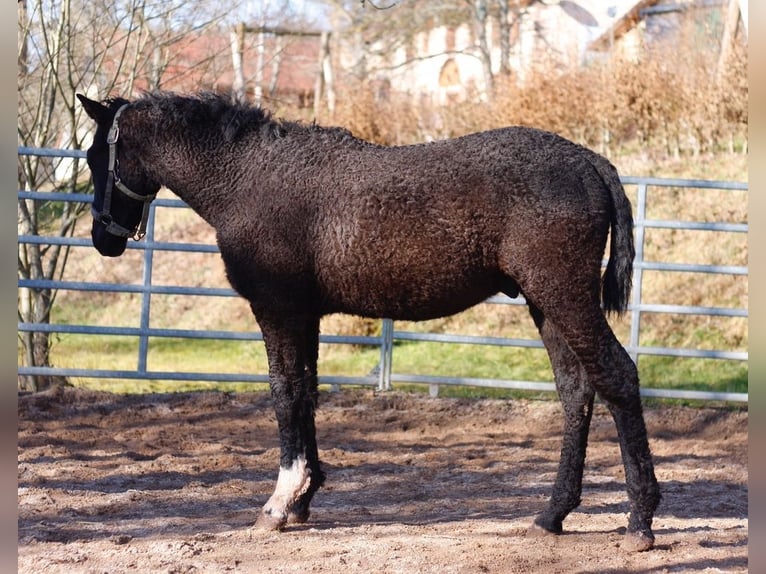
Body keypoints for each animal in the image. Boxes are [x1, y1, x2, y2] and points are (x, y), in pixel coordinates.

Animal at [78, 92, 664, 552]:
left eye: (93, 156)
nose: (103, 238)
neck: (248, 177)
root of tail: (590, 162)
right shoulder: (305, 316)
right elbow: (307, 393)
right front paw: (304, 497)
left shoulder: (278, 311)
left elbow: (284, 393)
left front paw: (279, 503)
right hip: (546, 305)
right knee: (576, 392)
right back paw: (552, 515)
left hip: (564, 297)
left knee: (617, 377)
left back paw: (640, 521)